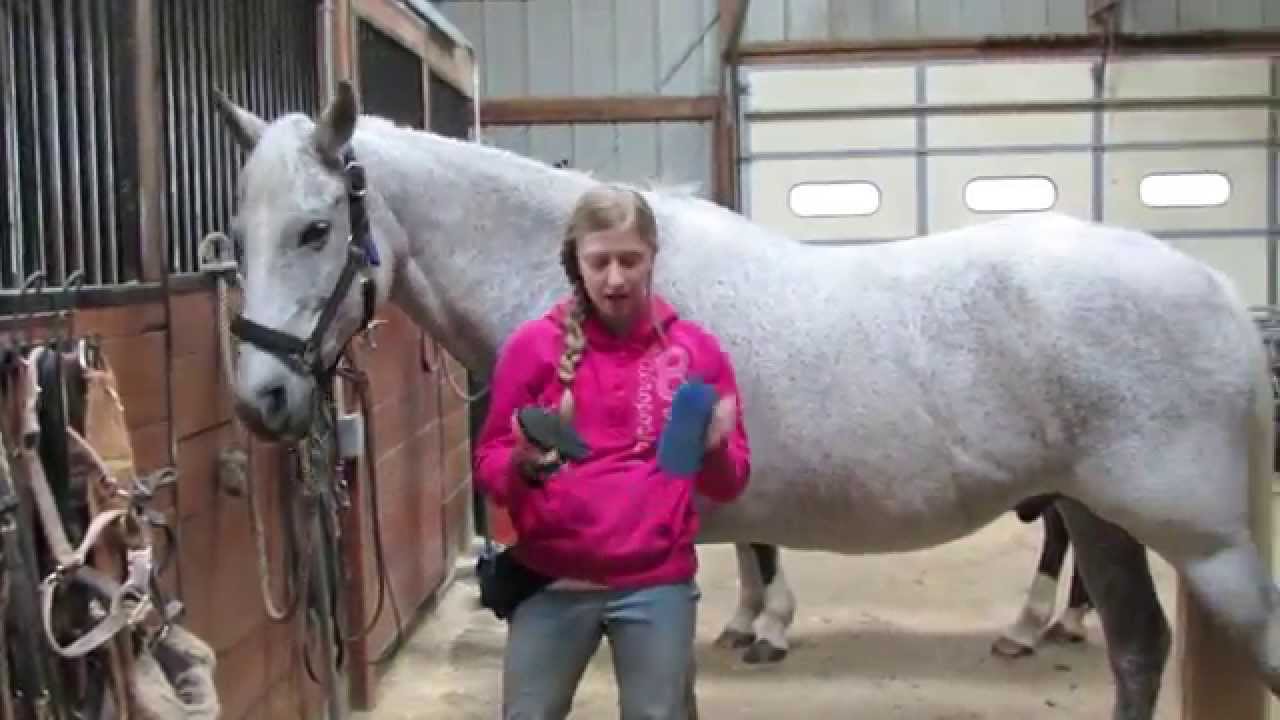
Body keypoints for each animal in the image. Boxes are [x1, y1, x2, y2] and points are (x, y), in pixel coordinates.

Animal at [214, 81, 1280, 719]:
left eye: (315, 229)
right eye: (235, 233)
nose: (264, 397)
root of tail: (1216, 290)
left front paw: (764, 627)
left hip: (1205, 546)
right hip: (1102, 519)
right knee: (1139, 648)